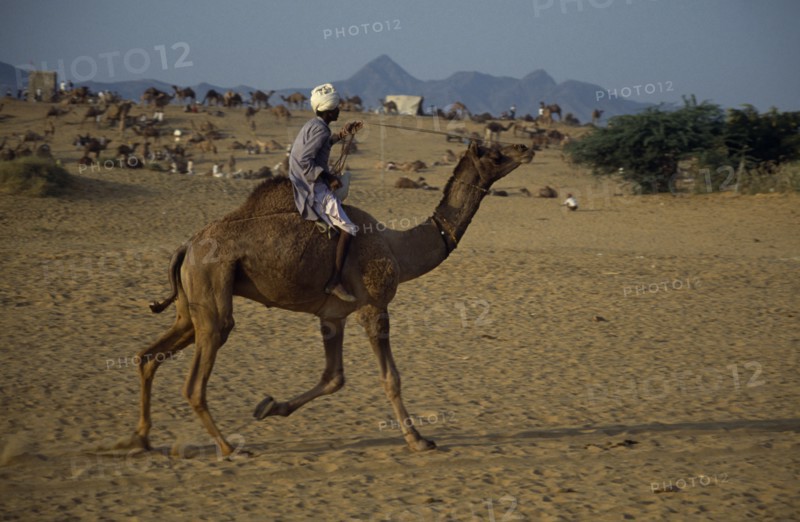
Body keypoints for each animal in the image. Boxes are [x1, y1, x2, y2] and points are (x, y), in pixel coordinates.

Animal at [125, 141, 533, 456]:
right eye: (494, 153)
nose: (525, 148)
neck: (399, 249)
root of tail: (187, 246)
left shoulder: (332, 316)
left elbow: (334, 377)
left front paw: (269, 406)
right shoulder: (373, 307)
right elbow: (391, 378)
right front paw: (418, 440)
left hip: (191, 303)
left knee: (148, 355)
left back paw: (139, 440)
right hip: (212, 291)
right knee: (197, 375)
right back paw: (228, 448)